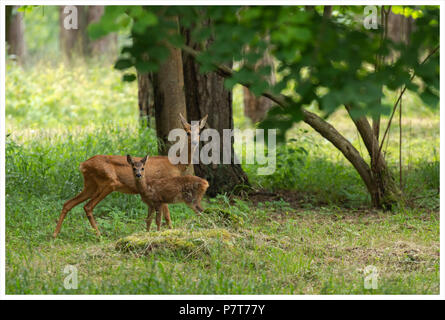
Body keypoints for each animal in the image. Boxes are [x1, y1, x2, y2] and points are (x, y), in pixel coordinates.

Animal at [53, 113, 209, 238]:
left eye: (199, 132)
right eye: (187, 132)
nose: (196, 141)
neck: (176, 164)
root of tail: (83, 165)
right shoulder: (164, 186)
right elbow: (168, 217)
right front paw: (169, 232)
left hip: (90, 184)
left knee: (68, 203)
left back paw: (55, 234)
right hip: (109, 182)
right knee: (88, 206)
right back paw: (98, 235)